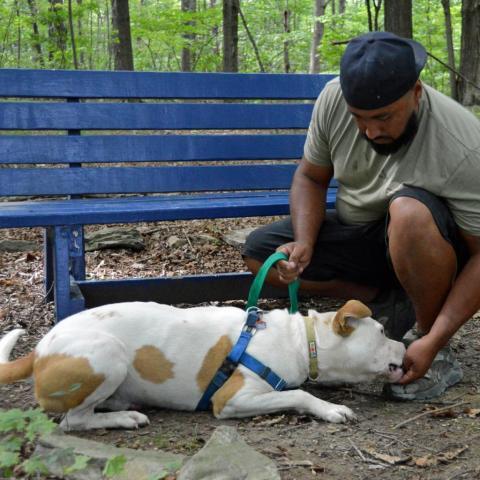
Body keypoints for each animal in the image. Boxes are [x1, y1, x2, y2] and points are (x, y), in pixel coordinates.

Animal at [0, 300, 404, 432]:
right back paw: (123, 418)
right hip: (108, 355)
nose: (405, 347)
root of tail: (40, 350)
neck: (300, 338)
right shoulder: (232, 399)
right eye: (383, 331)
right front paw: (332, 409)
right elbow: (300, 394)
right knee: (73, 422)